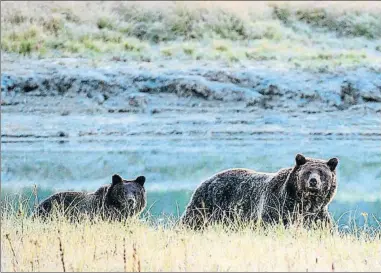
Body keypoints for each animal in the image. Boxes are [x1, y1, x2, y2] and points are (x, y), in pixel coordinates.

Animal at [181, 154, 338, 228]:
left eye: (321, 173)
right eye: (308, 171)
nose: (313, 181)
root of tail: (206, 180)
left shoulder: (317, 215)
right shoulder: (277, 206)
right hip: (207, 204)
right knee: (191, 221)